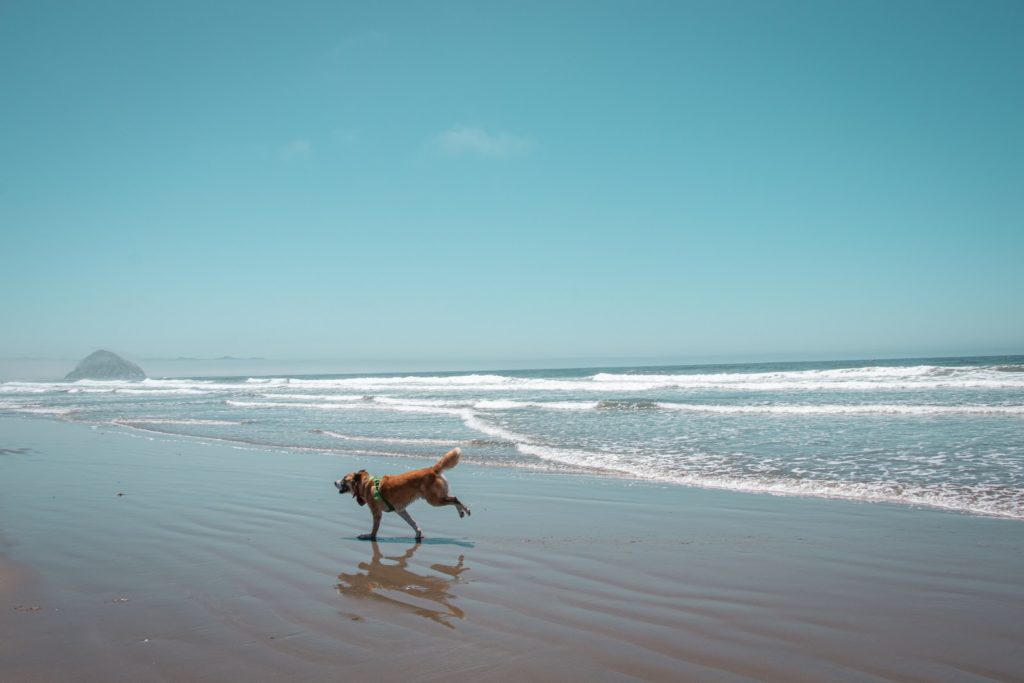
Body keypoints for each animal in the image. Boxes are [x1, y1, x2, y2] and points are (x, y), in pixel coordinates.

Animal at [335, 446, 471, 540]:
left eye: (344, 479)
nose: (334, 482)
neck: (365, 483)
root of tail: (432, 469)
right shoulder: (401, 510)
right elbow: (412, 522)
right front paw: (418, 533)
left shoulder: (377, 513)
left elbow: (375, 528)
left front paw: (370, 536)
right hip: (437, 498)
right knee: (453, 498)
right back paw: (461, 511)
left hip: (434, 500)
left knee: (455, 499)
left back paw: (465, 510)